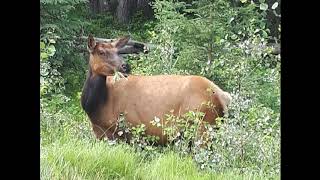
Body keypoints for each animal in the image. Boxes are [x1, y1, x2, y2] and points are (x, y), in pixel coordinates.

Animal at [79, 34, 230, 145]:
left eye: (117, 52)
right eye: (101, 52)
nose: (125, 66)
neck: (94, 106)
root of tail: (223, 96)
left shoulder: (125, 130)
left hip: (203, 126)